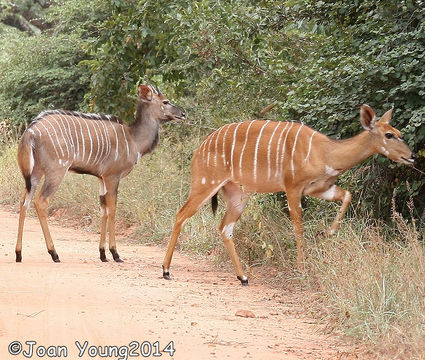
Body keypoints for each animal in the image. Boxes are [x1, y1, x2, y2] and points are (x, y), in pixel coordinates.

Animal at [15, 85, 185, 264]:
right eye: (165, 101)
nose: (183, 114)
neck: (133, 139)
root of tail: (30, 132)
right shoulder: (112, 177)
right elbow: (113, 209)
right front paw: (115, 253)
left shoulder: (101, 178)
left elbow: (103, 209)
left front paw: (103, 254)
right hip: (56, 170)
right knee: (40, 202)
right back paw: (54, 253)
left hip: (35, 173)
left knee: (24, 201)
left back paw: (19, 254)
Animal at [162, 105, 414, 286]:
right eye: (389, 135)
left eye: (399, 132)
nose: (411, 156)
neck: (325, 153)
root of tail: (199, 149)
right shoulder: (293, 187)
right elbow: (298, 227)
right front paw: (302, 267)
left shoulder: (320, 188)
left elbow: (347, 195)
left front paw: (329, 232)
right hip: (205, 184)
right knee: (181, 214)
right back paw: (165, 270)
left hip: (237, 195)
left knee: (225, 228)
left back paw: (243, 277)